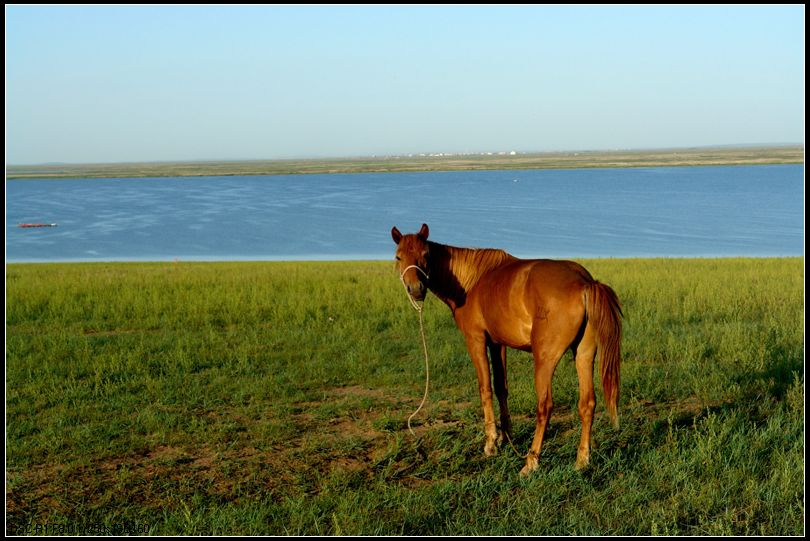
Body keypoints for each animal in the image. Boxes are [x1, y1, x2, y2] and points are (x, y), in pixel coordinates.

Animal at [388, 223, 620, 472]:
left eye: (426, 254)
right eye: (399, 256)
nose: (416, 289)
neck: (472, 281)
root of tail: (583, 282)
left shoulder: (476, 341)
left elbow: (485, 388)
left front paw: (491, 443)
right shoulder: (497, 344)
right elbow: (501, 387)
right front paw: (505, 436)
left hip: (545, 359)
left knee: (545, 406)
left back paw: (531, 462)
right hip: (583, 354)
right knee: (587, 403)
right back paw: (582, 460)